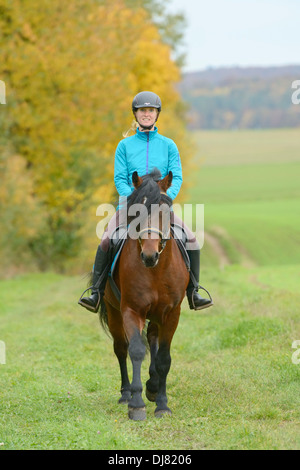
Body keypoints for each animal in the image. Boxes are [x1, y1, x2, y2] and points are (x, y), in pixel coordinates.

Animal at [99, 167, 189, 420]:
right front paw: (136, 404)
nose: (149, 256)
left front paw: (162, 404)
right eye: (136, 210)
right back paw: (126, 394)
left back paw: (153, 386)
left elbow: (164, 358)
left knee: (153, 340)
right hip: (114, 312)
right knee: (121, 348)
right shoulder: (131, 310)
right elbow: (136, 351)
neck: (155, 271)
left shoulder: (171, 313)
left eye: (165, 210)